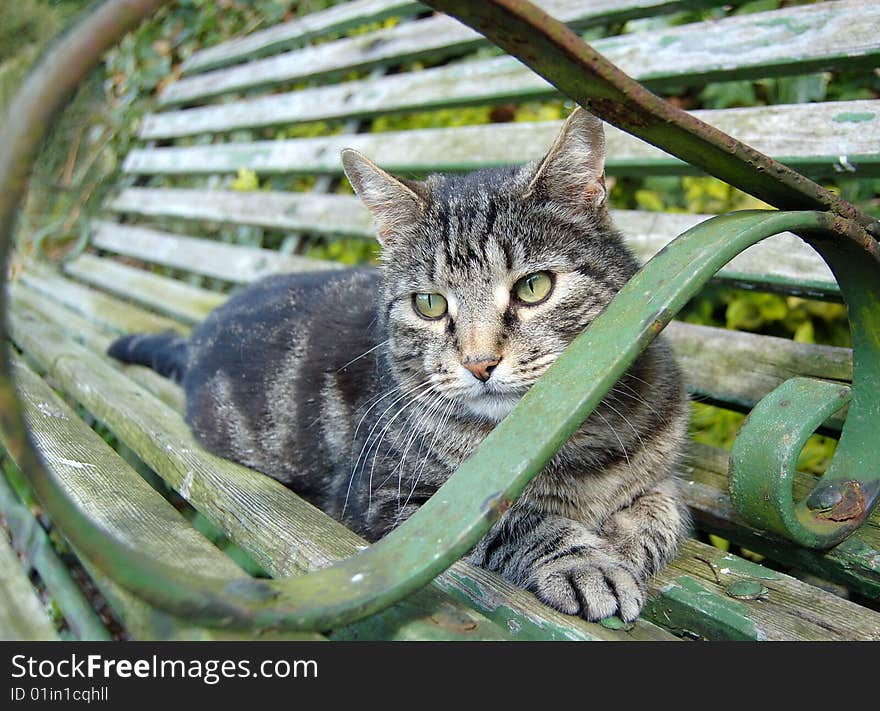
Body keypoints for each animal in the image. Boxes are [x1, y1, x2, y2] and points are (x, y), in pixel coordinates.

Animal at [108, 108, 688, 624]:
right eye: (429, 303)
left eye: (533, 287)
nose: (480, 363)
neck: (571, 445)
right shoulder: (388, 498)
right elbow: (511, 522)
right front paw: (586, 562)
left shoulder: (664, 474)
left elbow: (662, 512)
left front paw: (622, 545)